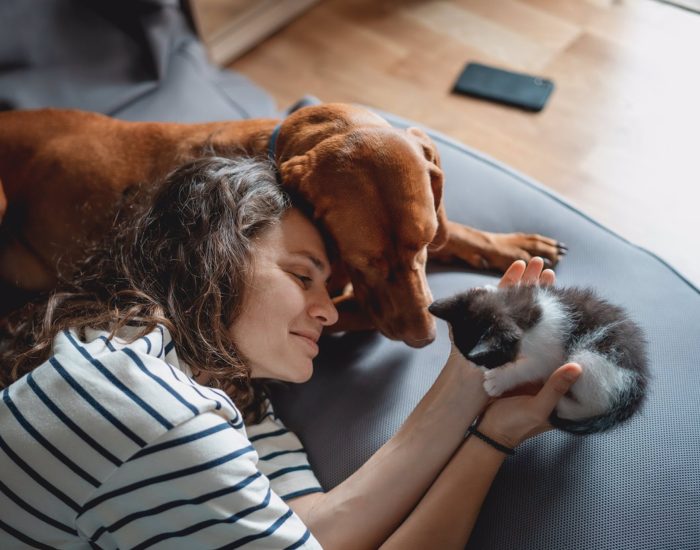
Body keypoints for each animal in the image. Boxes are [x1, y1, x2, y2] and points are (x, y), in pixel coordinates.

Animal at [0, 103, 560, 350]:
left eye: (421, 244)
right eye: (365, 260)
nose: (424, 338)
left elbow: (454, 229)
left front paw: (512, 242)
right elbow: (351, 314)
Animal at [430, 284, 648, 436]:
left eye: (488, 360)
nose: (477, 367)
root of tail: (637, 388)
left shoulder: (549, 354)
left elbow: (530, 368)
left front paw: (497, 381)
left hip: (591, 359)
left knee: (593, 404)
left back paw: (563, 403)